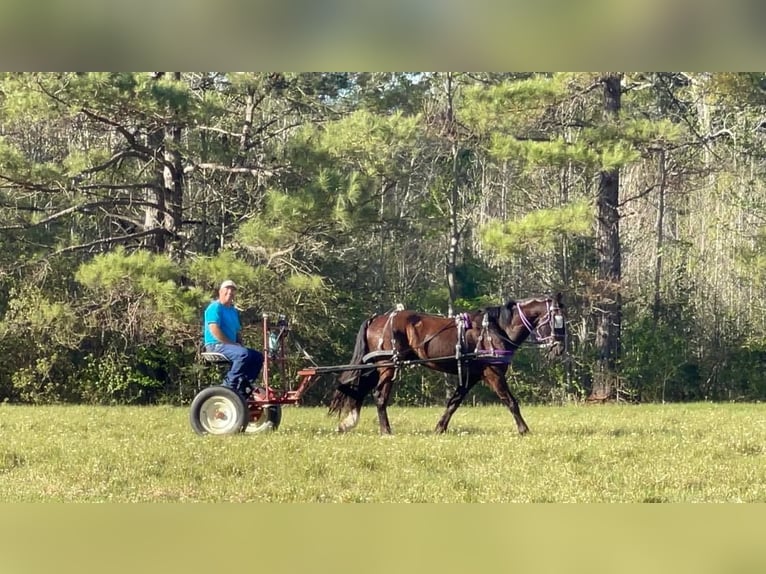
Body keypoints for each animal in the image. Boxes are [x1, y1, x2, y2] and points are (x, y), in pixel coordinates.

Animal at [328, 292, 568, 436]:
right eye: (556, 320)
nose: (559, 348)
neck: (495, 329)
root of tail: (377, 318)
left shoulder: (471, 376)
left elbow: (454, 402)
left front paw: (439, 428)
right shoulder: (492, 373)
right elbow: (510, 401)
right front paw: (524, 429)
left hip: (376, 365)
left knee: (359, 390)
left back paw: (349, 422)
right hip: (387, 365)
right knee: (379, 396)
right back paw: (386, 430)